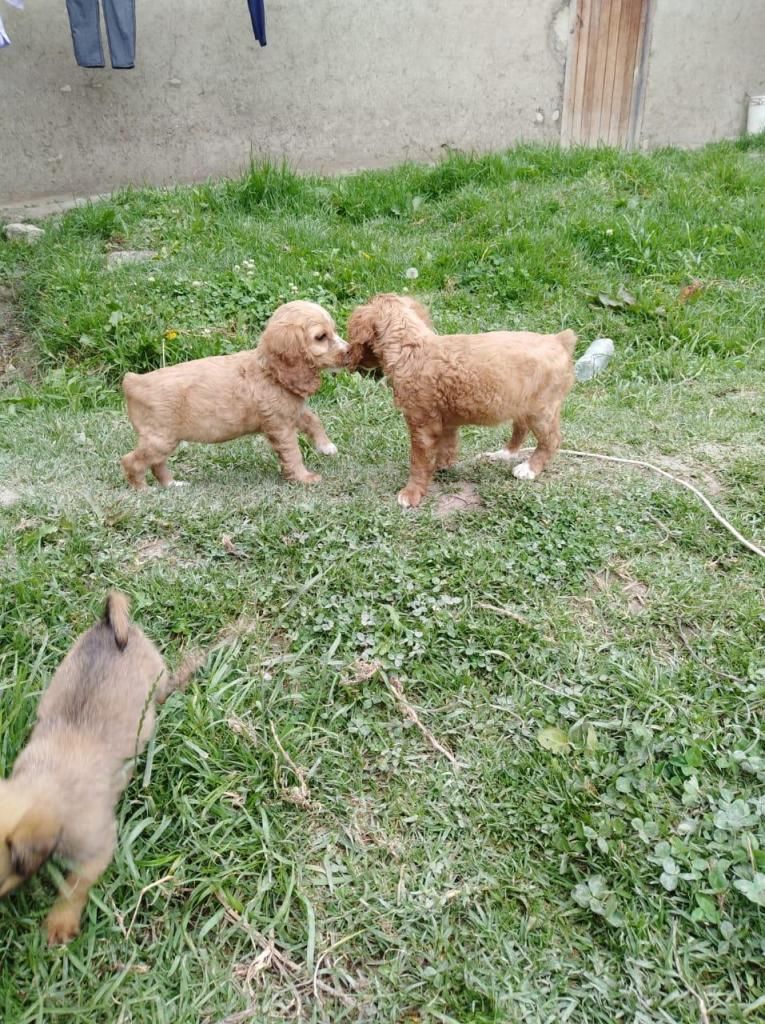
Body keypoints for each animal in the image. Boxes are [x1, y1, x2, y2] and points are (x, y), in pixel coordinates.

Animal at [0, 593, 191, 942]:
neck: (42, 787)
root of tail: (109, 626)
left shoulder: (96, 850)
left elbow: (73, 887)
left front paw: (59, 923)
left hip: (155, 679)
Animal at [121, 299, 348, 489]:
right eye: (320, 337)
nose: (349, 351)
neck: (269, 371)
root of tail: (134, 381)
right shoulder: (280, 425)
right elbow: (293, 453)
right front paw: (305, 478)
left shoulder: (293, 412)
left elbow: (313, 420)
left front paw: (326, 446)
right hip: (160, 439)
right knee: (132, 461)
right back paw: (143, 490)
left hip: (163, 440)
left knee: (157, 464)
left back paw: (172, 484)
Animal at [346, 294, 573, 505]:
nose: (347, 357)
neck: (410, 345)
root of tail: (558, 340)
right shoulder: (445, 420)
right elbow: (447, 445)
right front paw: (442, 466)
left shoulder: (421, 423)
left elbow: (418, 461)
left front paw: (411, 493)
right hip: (521, 403)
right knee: (521, 429)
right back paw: (503, 454)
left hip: (541, 410)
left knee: (551, 440)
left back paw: (529, 468)